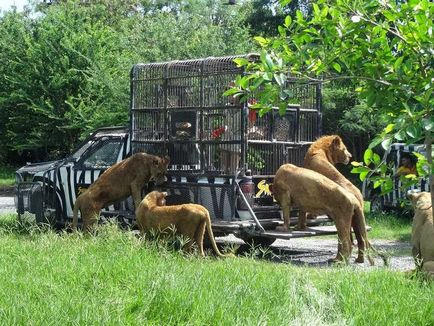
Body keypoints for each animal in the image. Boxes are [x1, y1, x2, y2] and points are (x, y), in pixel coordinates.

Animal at [298, 135, 372, 264]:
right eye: (344, 149)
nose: (350, 156)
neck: (321, 148)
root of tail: (357, 196)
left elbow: (304, 210)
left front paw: (305, 222)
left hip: (342, 217)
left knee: (345, 240)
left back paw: (337, 260)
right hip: (356, 218)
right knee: (360, 239)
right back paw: (359, 260)